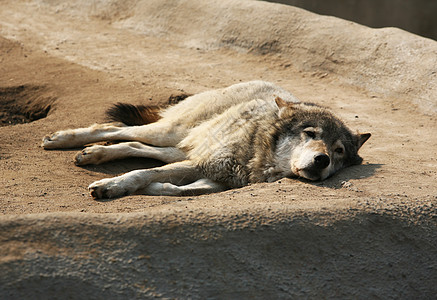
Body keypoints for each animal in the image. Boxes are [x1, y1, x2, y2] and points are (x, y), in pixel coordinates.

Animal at [41, 81, 370, 199]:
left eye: (338, 151)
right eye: (310, 134)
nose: (322, 160)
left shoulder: (214, 175)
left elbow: (181, 189)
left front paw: (153, 189)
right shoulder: (204, 164)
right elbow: (141, 172)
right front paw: (112, 186)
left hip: (181, 149)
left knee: (133, 145)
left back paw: (92, 153)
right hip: (170, 132)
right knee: (117, 128)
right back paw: (62, 139)